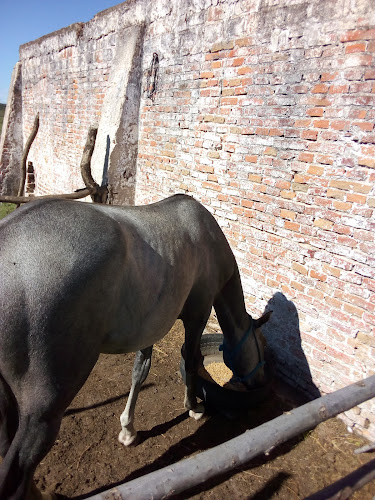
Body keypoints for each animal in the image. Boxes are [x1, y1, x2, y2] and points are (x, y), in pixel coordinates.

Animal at [0, 195, 270, 500]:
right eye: (261, 349)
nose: (260, 380)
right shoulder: (197, 315)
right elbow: (190, 361)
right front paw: (192, 407)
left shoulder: (149, 326)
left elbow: (140, 373)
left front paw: (128, 429)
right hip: (44, 411)